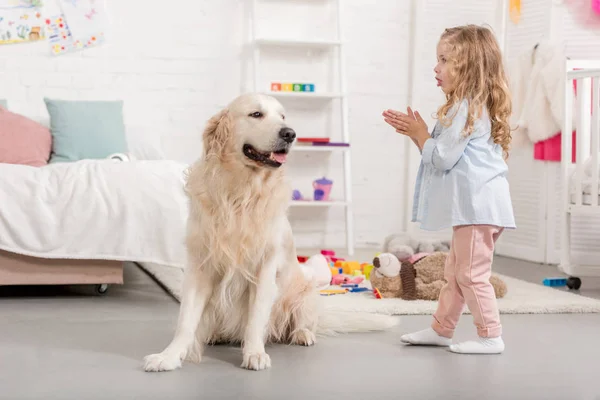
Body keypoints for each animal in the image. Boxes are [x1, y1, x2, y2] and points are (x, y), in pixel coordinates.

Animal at [143, 91, 398, 372]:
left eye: (283, 116)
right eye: (256, 114)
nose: (290, 133)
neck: (241, 192)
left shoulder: (264, 267)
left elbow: (256, 318)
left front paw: (254, 353)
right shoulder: (200, 264)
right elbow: (186, 320)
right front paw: (169, 356)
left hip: (305, 290)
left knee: (305, 321)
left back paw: (302, 334)